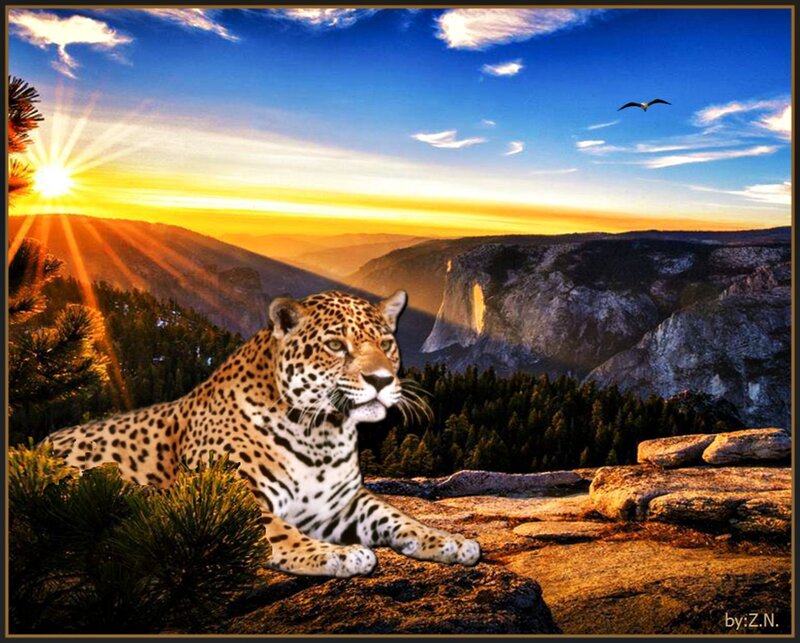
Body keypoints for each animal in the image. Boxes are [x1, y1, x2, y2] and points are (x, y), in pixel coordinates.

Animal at [45, 289, 481, 577]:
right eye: (335, 344)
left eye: (387, 343)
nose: (381, 379)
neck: (323, 435)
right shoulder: (226, 492)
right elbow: (274, 528)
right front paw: (336, 554)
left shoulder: (341, 504)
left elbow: (395, 515)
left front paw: (449, 540)